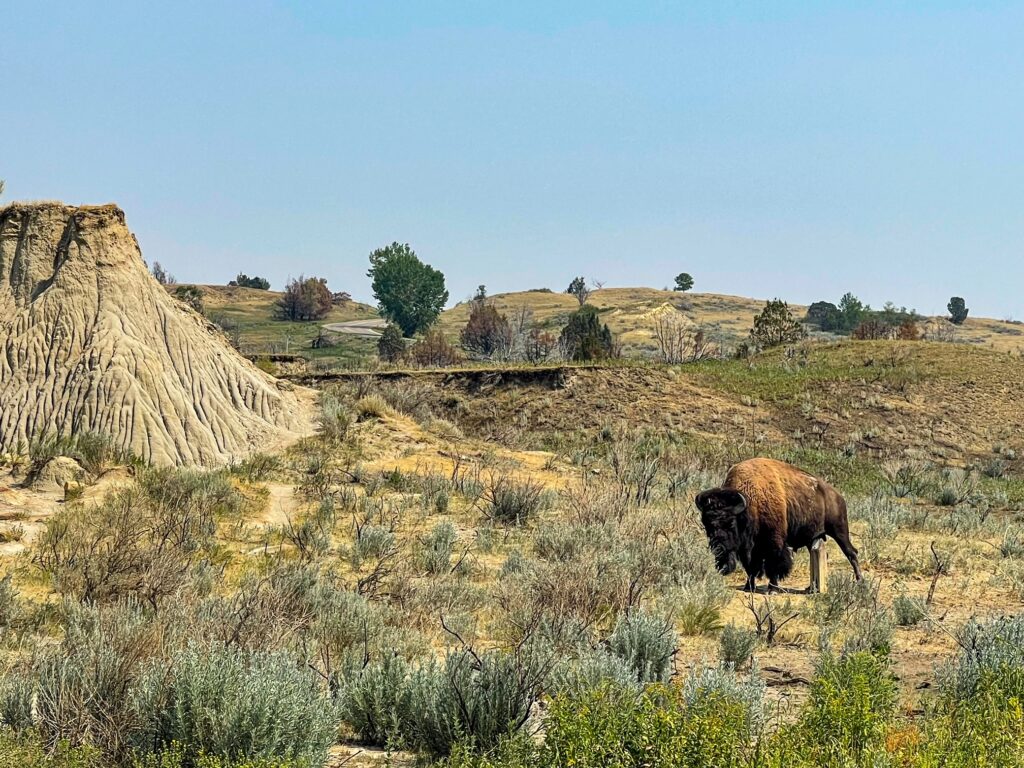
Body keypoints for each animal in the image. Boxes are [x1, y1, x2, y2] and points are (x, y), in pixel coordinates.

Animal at [700, 456, 860, 593]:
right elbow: (750, 568)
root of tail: (838, 496)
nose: (719, 549)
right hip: (813, 538)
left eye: (731, 523)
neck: (751, 503)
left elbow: (774, 564)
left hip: (839, 531)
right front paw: (748, 587)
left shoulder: (774, 542)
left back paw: (860, 581)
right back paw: (811, 587)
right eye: (707, 526)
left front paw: (772, 589)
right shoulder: (748, 549)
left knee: (851, 553)